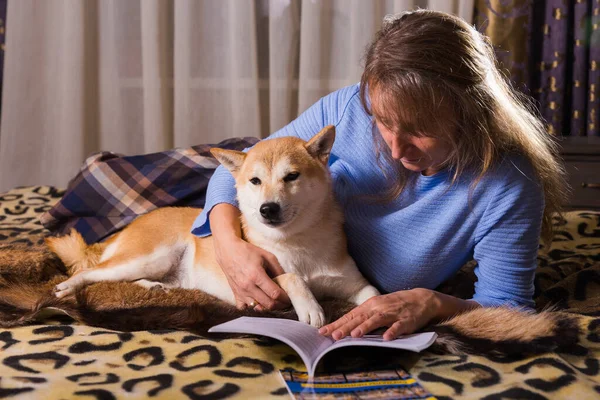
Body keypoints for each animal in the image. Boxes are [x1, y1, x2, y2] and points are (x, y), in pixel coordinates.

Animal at [47, 127, 380, 328]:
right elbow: (291, 278)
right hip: (147, 257)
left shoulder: (353, 285)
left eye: (292, 176)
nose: (267, 209)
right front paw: (311, 307)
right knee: (90, 273)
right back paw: (67, 287)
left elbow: (374, 295)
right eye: (255, 181)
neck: (299, 241)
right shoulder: (256, 281)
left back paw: (155, 287)